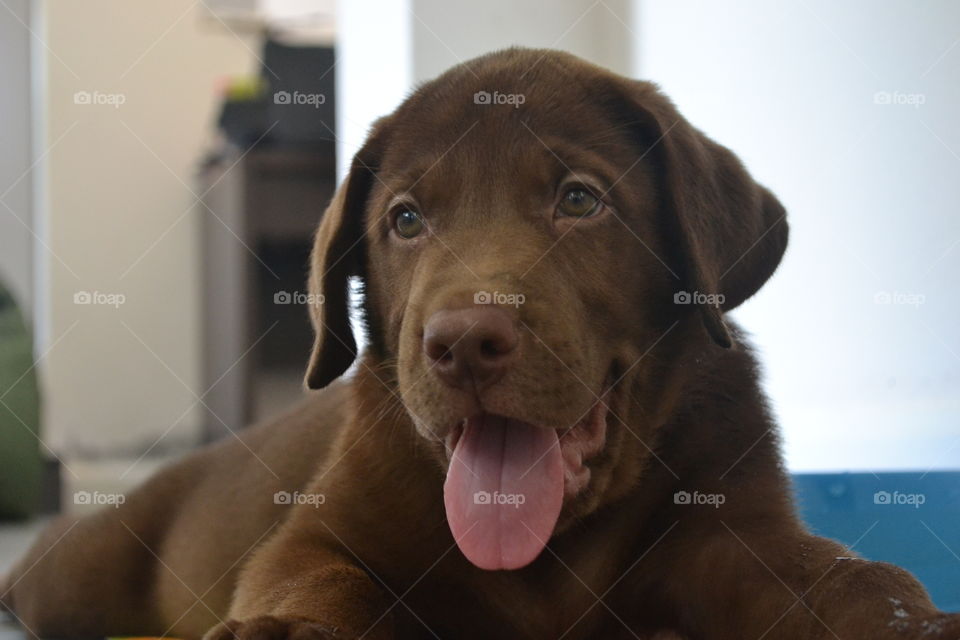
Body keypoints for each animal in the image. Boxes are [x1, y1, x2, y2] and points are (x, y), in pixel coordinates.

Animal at [1, 48, 960, 640]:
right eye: (405, 220)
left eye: (579, 201)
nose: (462, 341)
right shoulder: (321, 531)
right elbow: (322, 578)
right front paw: (290, 630)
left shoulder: (734, 534)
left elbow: (847, 577)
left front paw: (914, 620)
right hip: (83, 572)